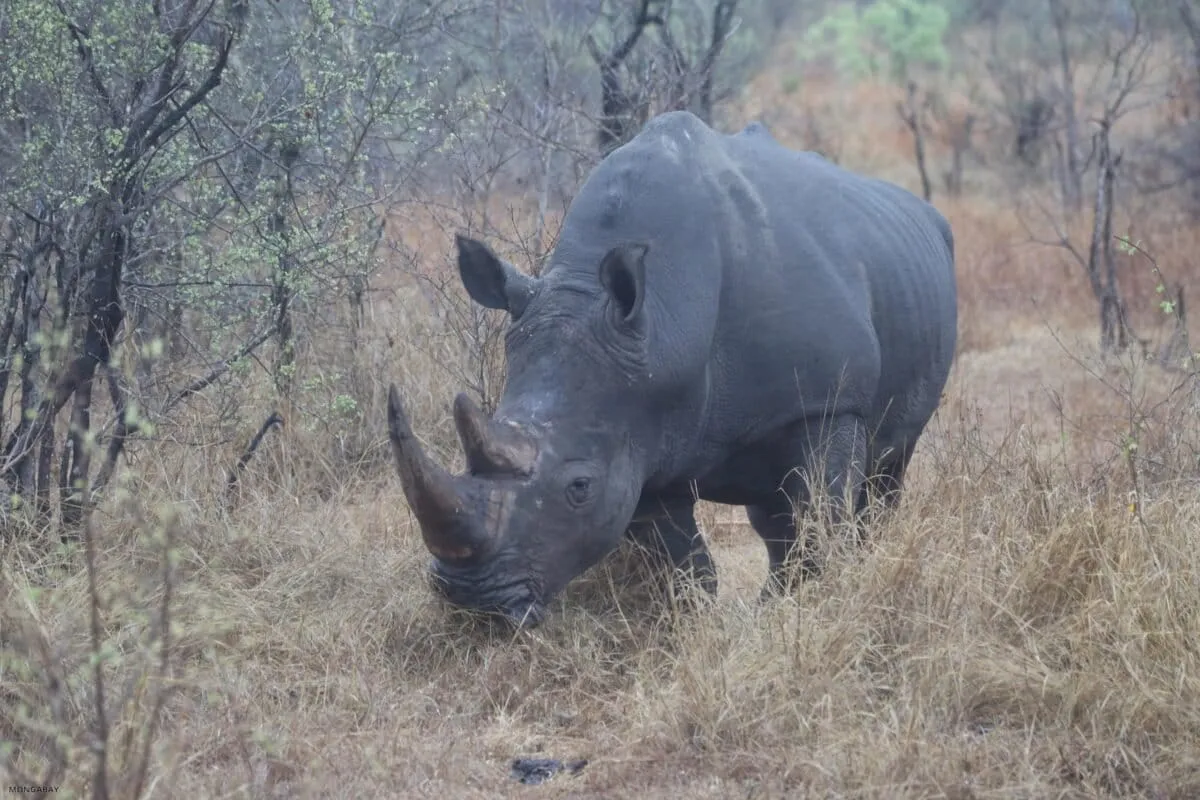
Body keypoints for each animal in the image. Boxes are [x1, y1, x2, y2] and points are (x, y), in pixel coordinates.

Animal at [387, 111, 957, 626]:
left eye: (579, 487)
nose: (471, 602)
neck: (662, 324)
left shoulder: (828, 403)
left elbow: (821, 522)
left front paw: (806, 610)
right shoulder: (638, 431)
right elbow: (685, 567)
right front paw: (703, 626)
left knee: (884, 474)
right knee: (772, 513)